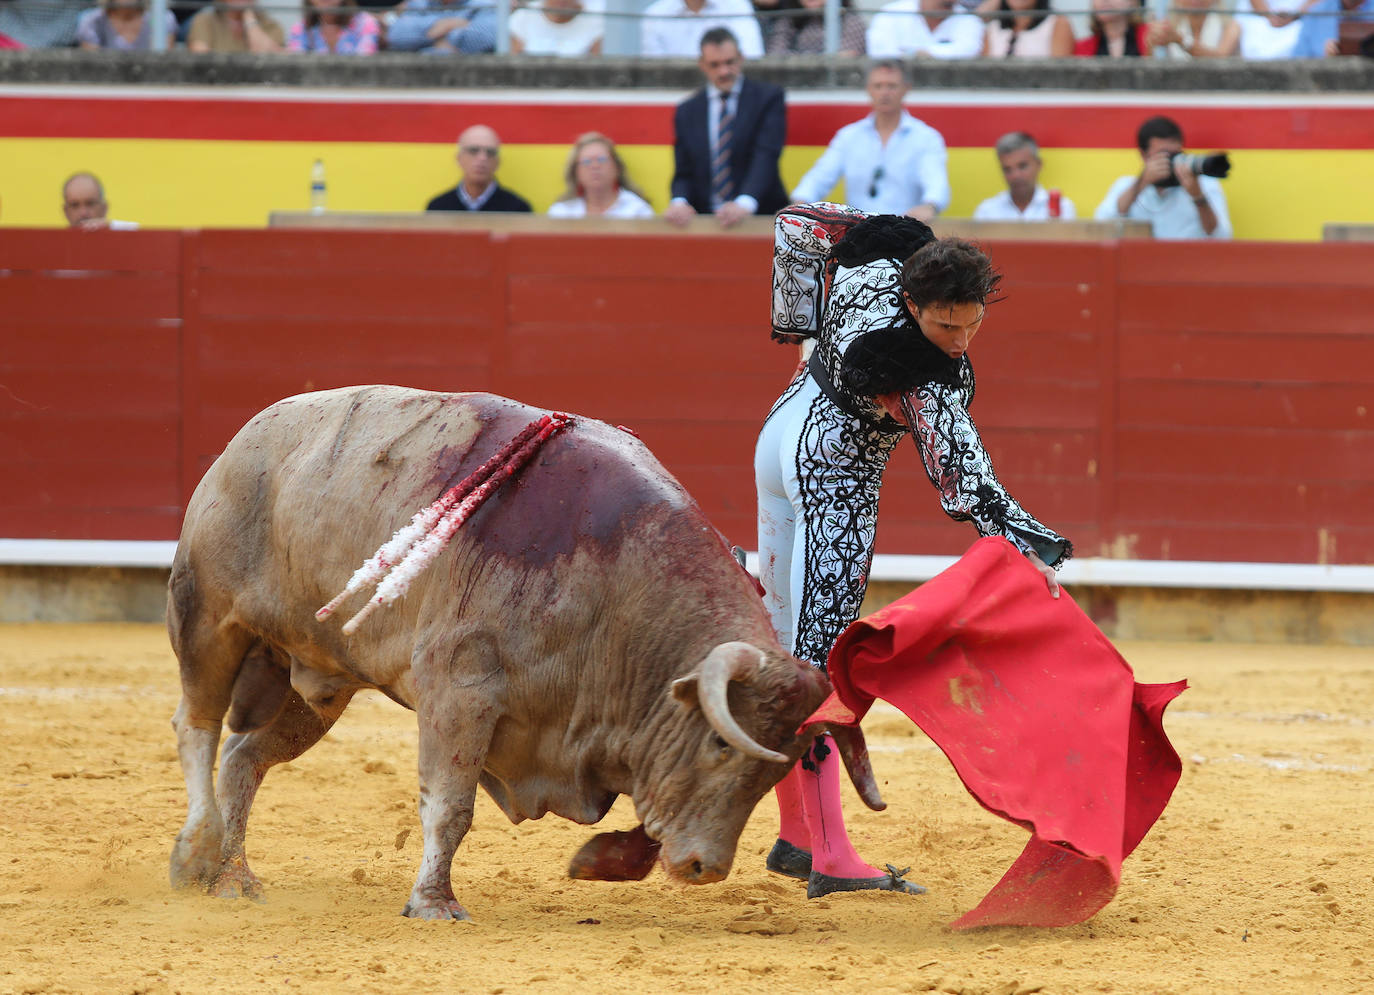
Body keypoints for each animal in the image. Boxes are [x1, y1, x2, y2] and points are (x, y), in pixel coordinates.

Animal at [169, 384, 879, 923]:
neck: (617, 591)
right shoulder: (459, 691)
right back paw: (194, 851)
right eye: (719, 745)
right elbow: (450, 806)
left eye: (773, 772)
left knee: (245, 756)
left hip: (315, 682)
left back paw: (231, 875)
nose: (706, 868)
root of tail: (248, 436)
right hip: (207, 618)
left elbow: (649, 815)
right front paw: (434, 904)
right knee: (197, 726)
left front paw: (599, 862)